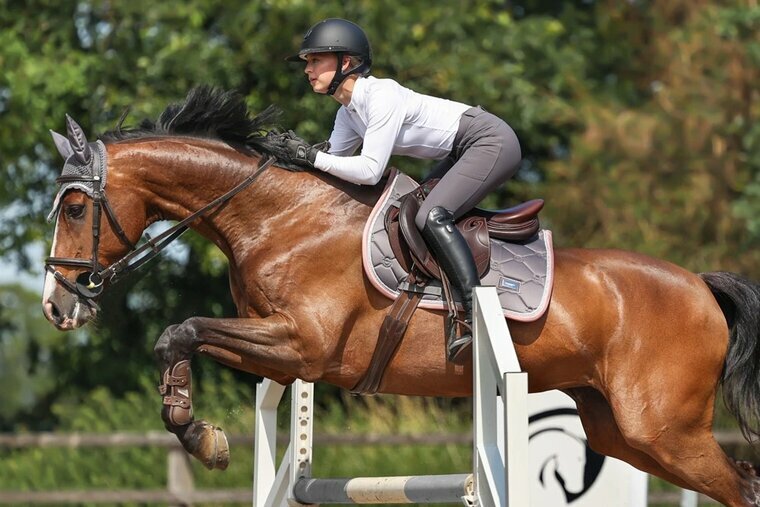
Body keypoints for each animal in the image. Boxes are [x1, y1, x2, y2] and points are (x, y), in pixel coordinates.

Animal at [41, 88, 760, 506]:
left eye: (75, 207)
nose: (56, 304)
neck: (279, 218)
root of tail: (700, 285)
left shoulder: (303, 343)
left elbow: (180, 329)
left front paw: (199, 434)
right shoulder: (282, 356)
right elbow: (181, 337)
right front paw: (201, 434)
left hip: (663, 428)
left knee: (742, 486)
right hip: (622, 430)